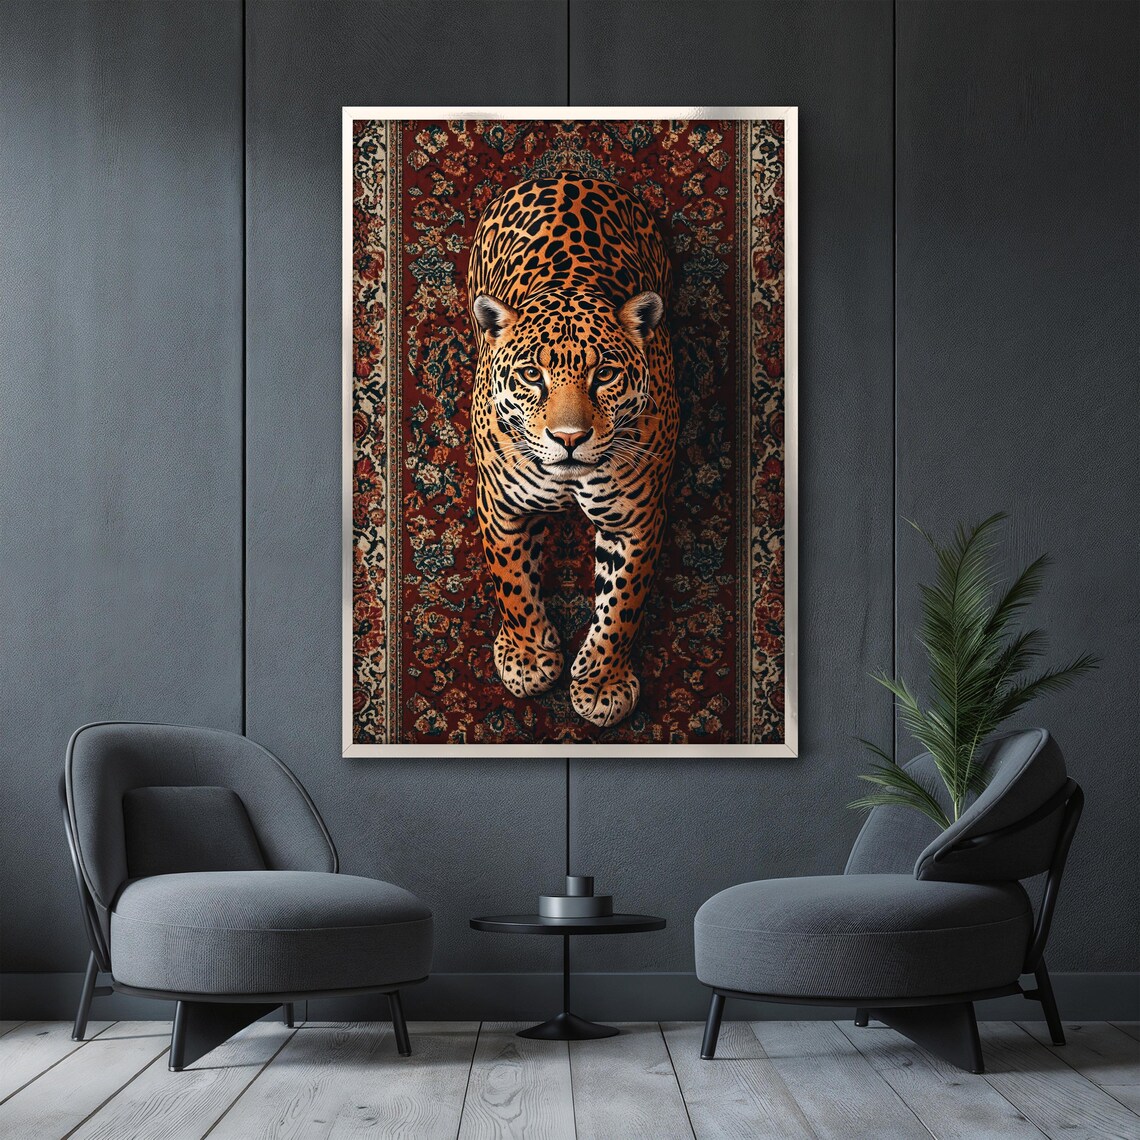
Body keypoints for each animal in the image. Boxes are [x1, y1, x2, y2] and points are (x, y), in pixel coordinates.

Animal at [465, 175, 679, 728]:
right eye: (530, 375)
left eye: (603, 374)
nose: (568, 438)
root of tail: (566, 173)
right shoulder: (500, 505)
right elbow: (512, 582)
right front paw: (527, 659)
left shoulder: (637, 519)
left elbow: (623, 605)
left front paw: (603, 686)